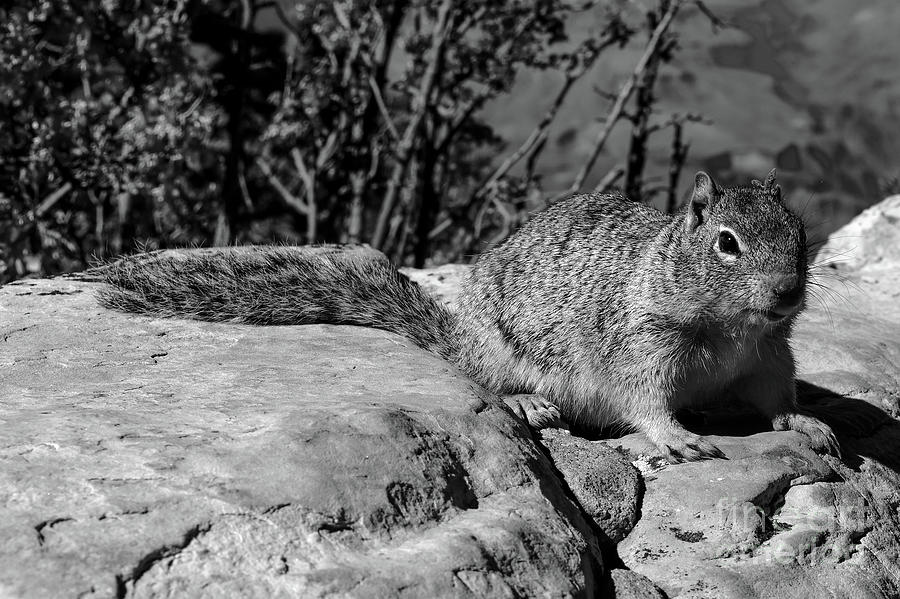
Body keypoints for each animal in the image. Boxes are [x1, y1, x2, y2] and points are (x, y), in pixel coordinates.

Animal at [102, 170, 840, 464]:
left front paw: (805, 421)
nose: (785, 292)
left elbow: (777, 395)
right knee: (491, 381)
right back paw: (531, 403)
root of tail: (458, 335)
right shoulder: (642, 344)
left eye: (799, 230)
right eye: (726, 243)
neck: (730, 328)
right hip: (502, 350)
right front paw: (678, 438)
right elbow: (644, 399)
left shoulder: (770, 353)